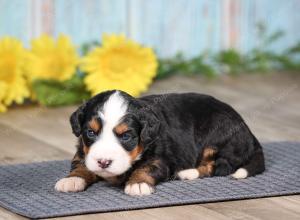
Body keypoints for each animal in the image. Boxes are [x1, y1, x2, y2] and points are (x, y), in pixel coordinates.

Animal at [55, 89, 264, 196]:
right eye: (91, 132)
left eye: (126, 136)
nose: (103, 162)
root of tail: (248, 130)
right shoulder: (83, 151)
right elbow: (80, 164)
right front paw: (72, 179)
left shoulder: (162, 158)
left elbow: (147, 168)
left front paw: (138, 183)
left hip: (217, 137)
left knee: (219, 166)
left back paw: (187, 173)